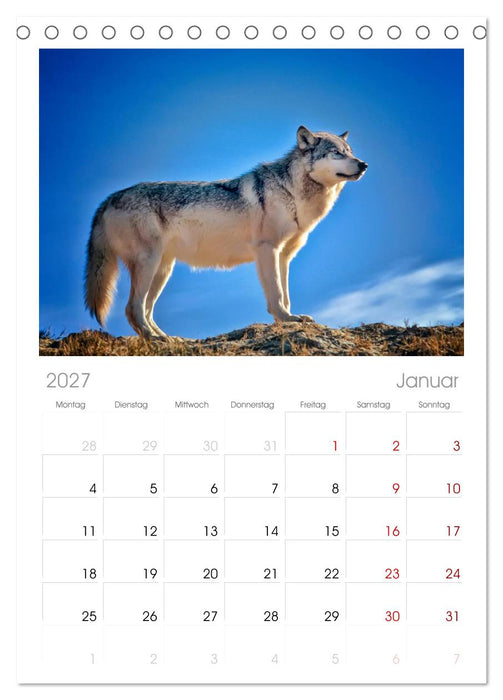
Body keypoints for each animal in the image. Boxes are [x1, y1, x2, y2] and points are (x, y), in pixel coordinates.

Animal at [85, 125, 367, 337]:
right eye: (336, 153)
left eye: (350, 152)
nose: (363, 164)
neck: (292, 193)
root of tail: (107, 199)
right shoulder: (267, 250)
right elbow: (276, 294)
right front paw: (286, 320)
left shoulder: (284, 256)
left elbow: (286, 295)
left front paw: (288, 319)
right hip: (149, 264)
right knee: (132, 309)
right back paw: (155, 340)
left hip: (163, 270)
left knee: (145, 310)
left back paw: (168, 338)